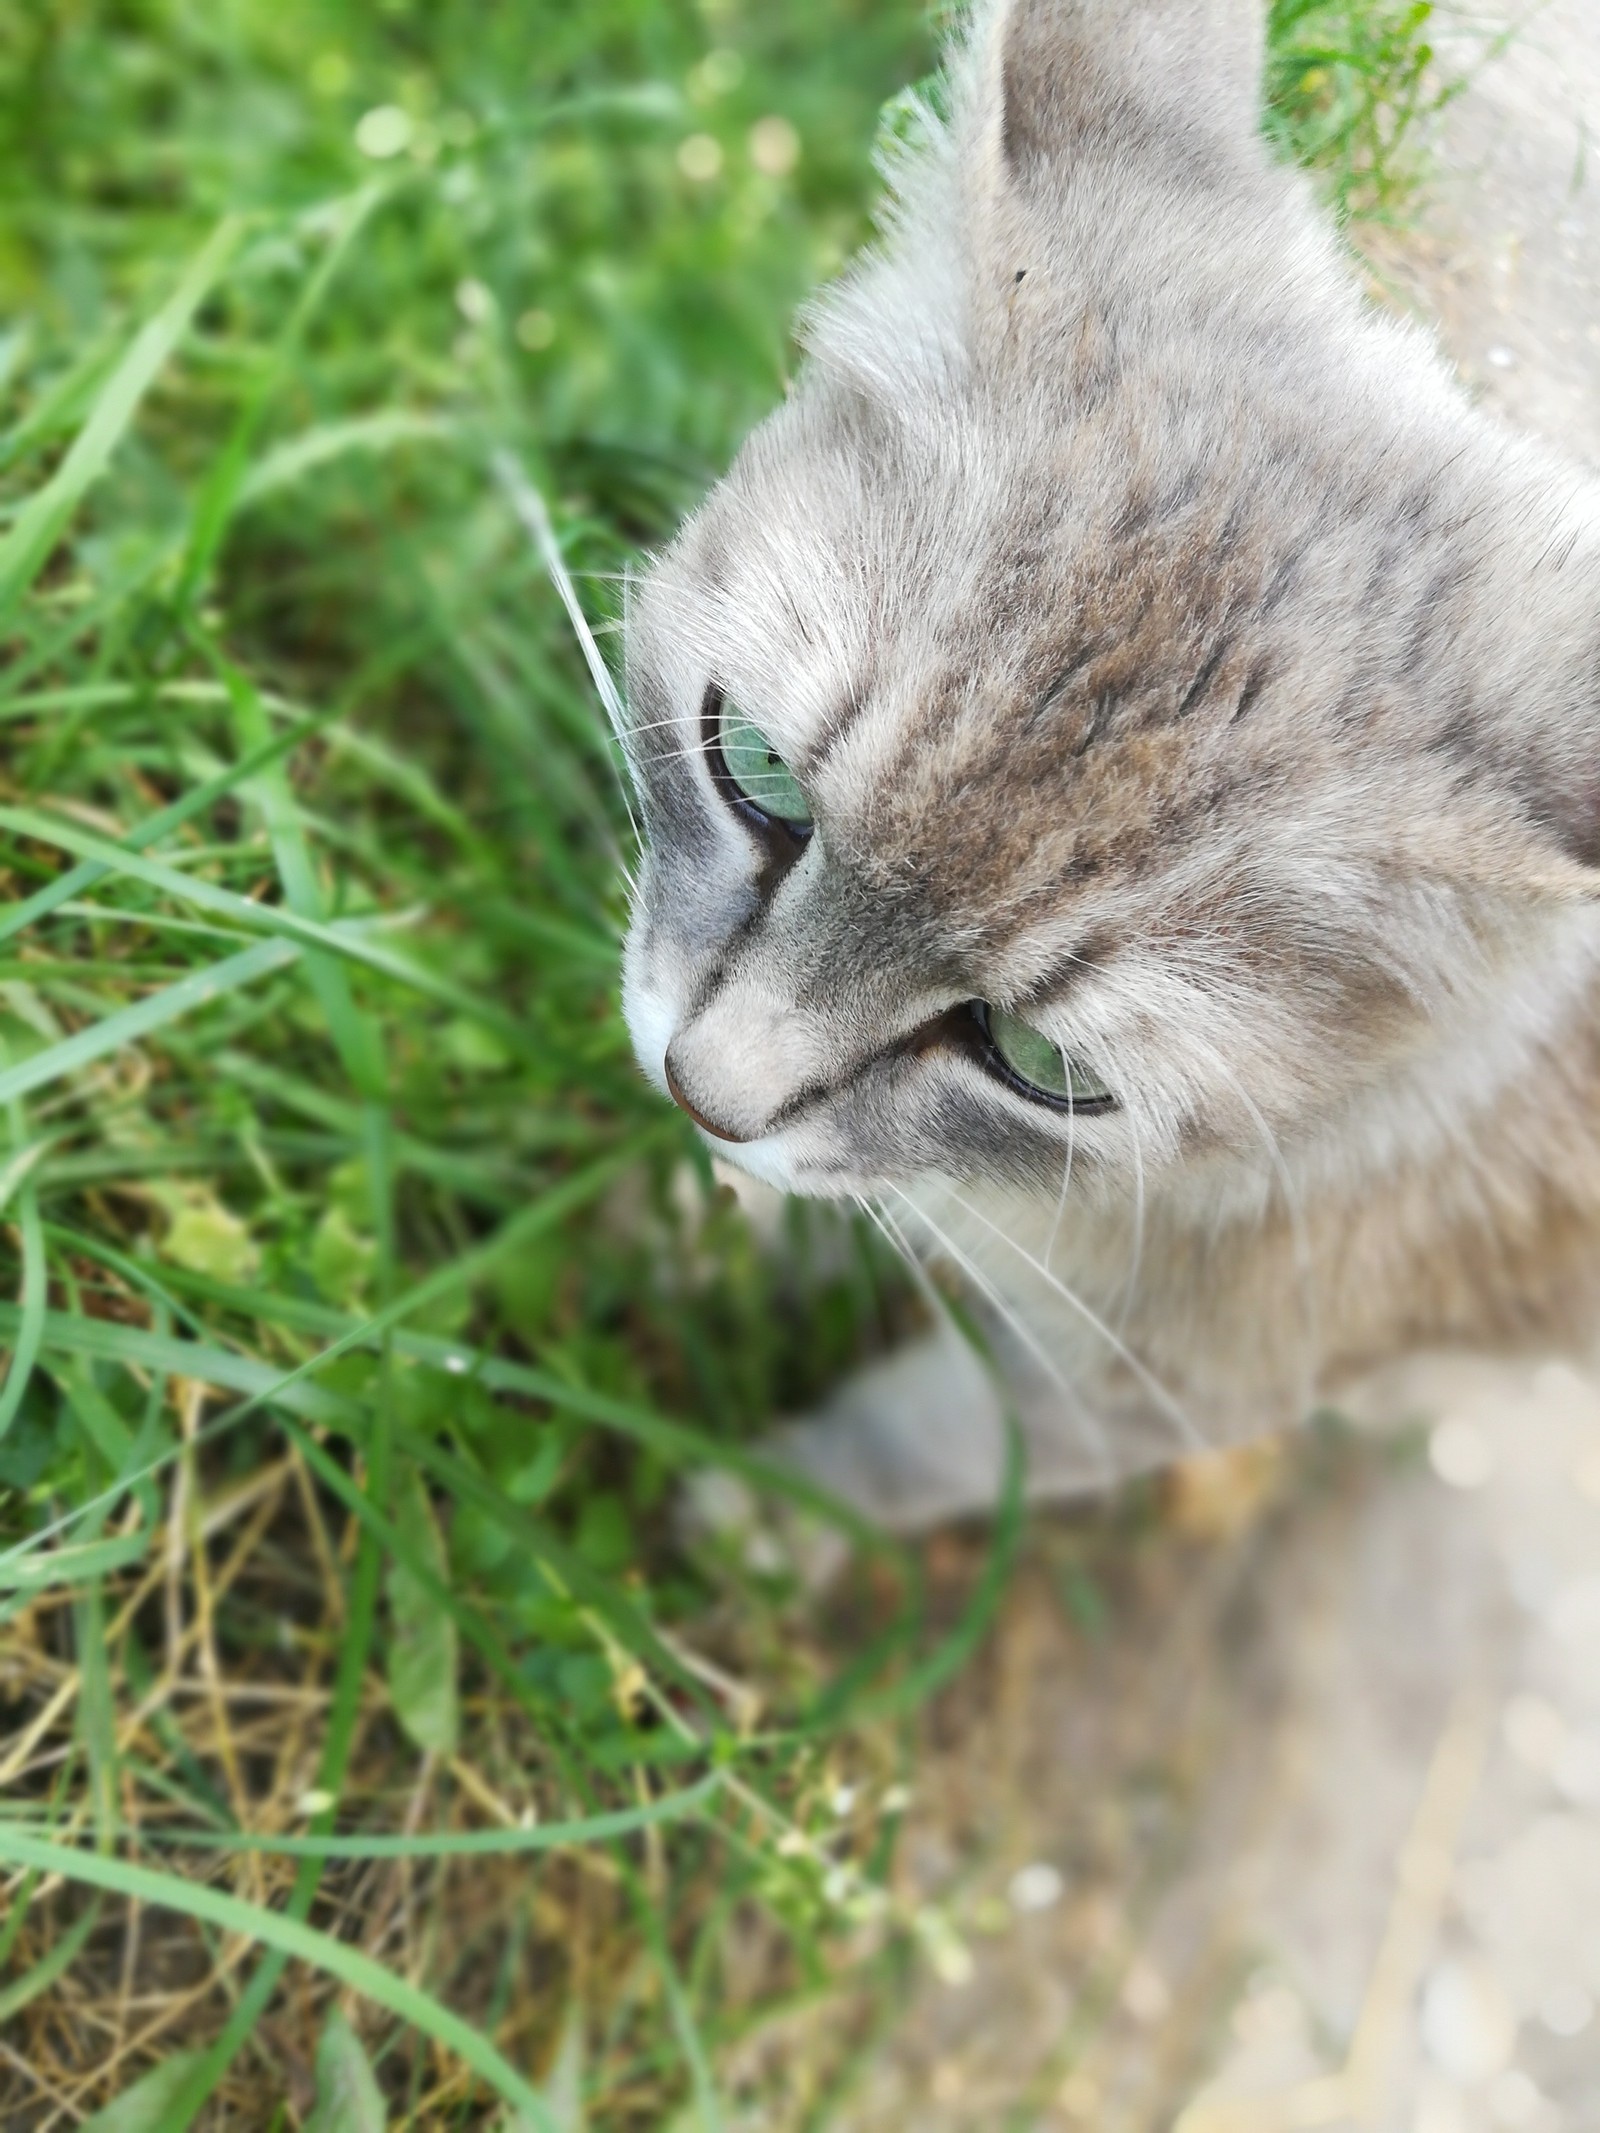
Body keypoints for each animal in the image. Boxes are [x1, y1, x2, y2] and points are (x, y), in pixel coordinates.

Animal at [618, 0, 1600, 1535]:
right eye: (757, 771)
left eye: (1042, 1066)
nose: (697, 1094)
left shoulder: (1148, 1395)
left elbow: (920, 1448)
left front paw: (768, 1521)